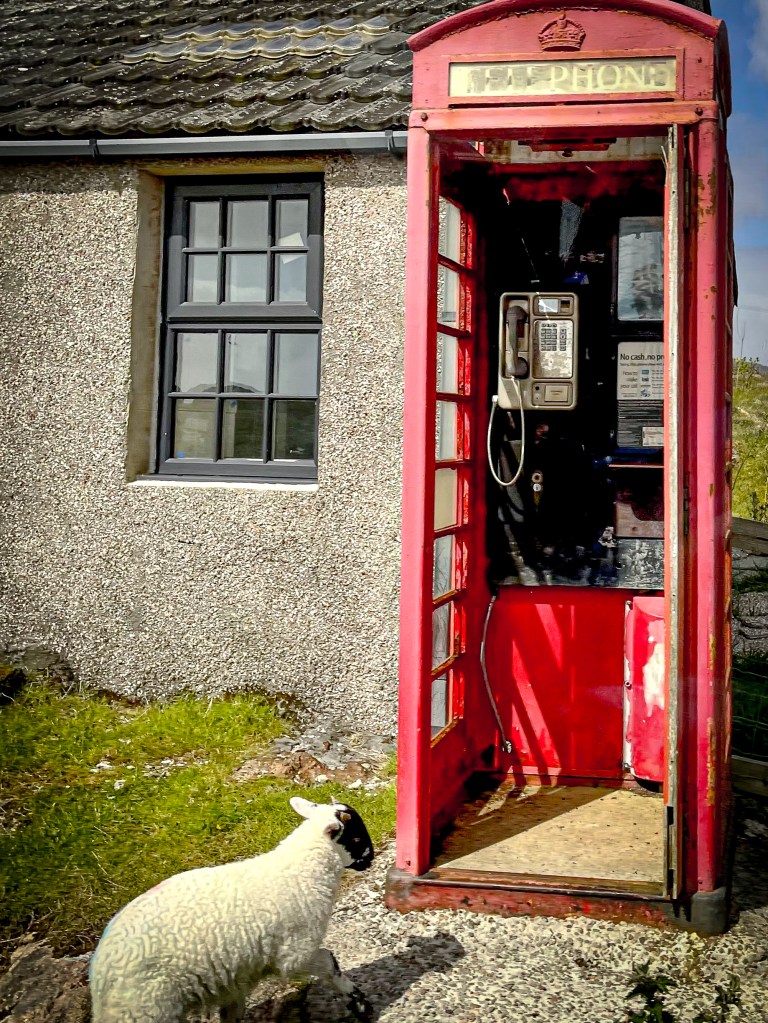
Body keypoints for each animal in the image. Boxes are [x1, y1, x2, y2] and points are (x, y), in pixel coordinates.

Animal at [89, 797, 375, 1023]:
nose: (370, 860)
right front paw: (360, 1003)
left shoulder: (237, 977)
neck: (301, 871)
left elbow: (232, 1012)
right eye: (356, 836)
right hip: (150, 1007)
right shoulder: (293, 953)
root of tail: (100, 977)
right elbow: (329, 962)